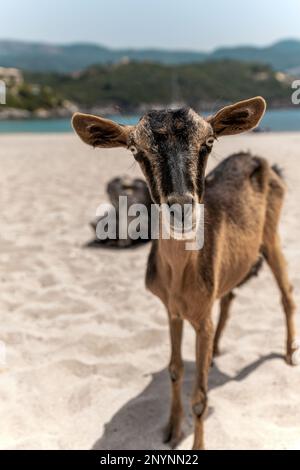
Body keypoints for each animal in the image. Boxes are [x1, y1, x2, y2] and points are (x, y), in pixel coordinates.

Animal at [72, 97, 298, 450]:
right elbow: (175, 370)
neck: (180, 276)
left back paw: (288, 354)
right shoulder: (172, 311)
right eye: (135, 149)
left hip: (271, 235)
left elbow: (201, 398)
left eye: (208, 142)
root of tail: (260, 161)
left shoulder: (201, 319)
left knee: (286, 293)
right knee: (229, 296)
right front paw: (171, 430)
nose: (181, 208)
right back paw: (216, 353)